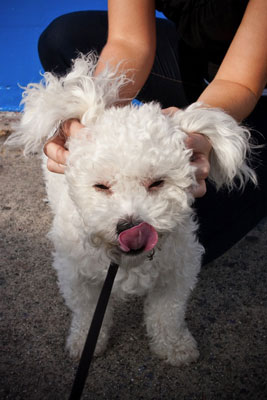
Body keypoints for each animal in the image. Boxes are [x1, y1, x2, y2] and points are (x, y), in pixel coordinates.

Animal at [7, 54, 256, 368]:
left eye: (157, 182)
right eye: (101, 186)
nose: (130, 227)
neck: (128, 262)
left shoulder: (176, 273)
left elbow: (167, 314)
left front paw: (174, 346)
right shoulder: (76, 275)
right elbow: (87, 313)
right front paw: (84, 342)